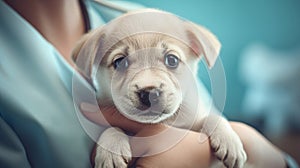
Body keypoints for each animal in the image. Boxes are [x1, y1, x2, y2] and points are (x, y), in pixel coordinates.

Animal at [72, 8, 246, 168]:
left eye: (172, 60)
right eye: (120, 62)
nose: (149, 93)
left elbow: (213, 117)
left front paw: (229, 140)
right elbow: (110, 128)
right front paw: (111, 149)